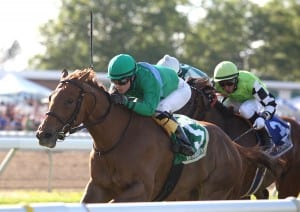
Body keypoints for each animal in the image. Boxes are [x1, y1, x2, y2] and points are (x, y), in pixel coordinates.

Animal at [35, 68, 282, 203]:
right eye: (50, 97)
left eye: (69, 100)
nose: (43, 134)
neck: (117, 139)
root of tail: (233, 146)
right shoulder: (97, 188)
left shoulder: (141, 191)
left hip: (214, 192)